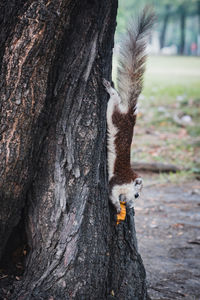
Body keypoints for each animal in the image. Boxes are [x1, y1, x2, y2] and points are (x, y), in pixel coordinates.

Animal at [103, 7, 155, 213]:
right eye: (137, 194)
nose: (133, 204)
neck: (129, 181)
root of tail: (130, 114)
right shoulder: (117, 183)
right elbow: (112, 194)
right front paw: (118, 206)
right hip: (114, 114)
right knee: (114, 100)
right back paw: (110, 89)